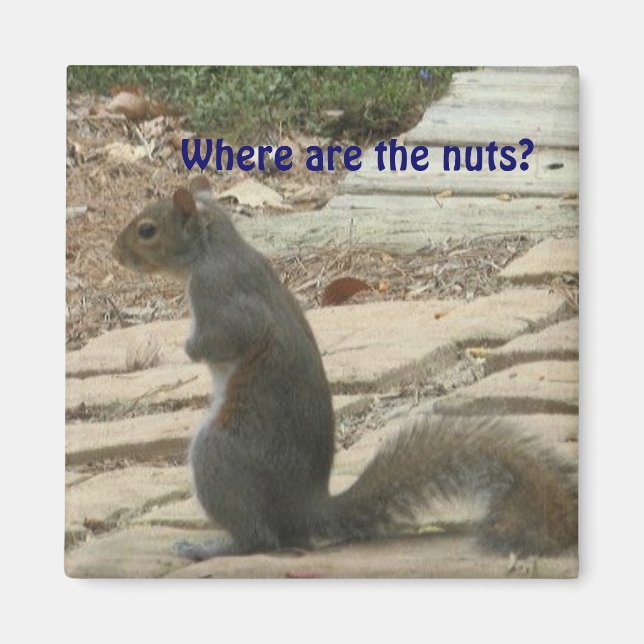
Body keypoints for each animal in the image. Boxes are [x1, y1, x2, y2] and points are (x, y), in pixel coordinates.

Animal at [112, 179, 577, 560]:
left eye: (147, 230)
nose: (115, 253)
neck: (214, 246)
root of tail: (305, 509)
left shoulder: (221, 295)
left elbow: (228, 337)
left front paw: (187, 347)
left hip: (219, 454)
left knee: (261, 539)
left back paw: (207, 548)